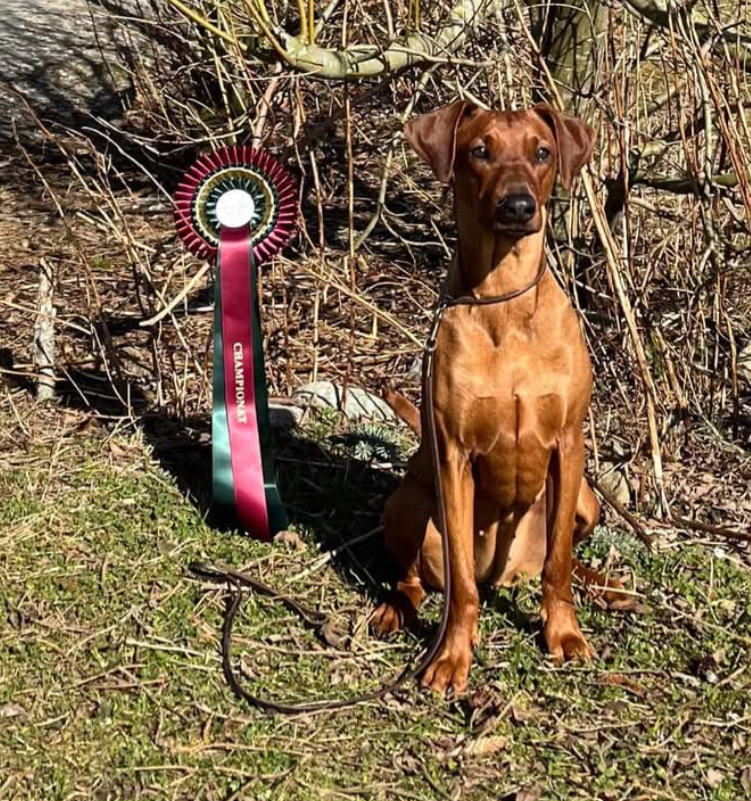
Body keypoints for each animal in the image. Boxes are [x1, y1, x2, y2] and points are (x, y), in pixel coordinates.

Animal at [371, 101, 630, 695]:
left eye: (542, 152)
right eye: (479, 151)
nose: (518, 206)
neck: (503, 300)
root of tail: (504, 574)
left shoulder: (569, 444)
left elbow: (559, 565)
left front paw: (565, 634)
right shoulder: (453, 454)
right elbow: (460, 586)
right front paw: (451, 655)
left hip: (587, 498)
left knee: (562, 558)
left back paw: (605, 586)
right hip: (409, 501)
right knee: (416, 575)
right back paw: (396, 607)